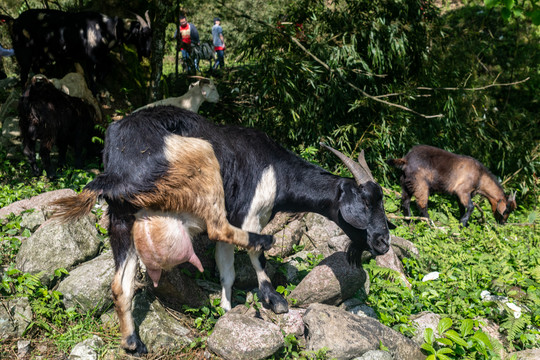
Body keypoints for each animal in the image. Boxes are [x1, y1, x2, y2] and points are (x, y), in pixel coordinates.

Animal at [51, 106, 392, 354]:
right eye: (364, 202)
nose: (383, 242)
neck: (278, 170)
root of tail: (121, 167)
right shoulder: (250, 212)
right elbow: (249, 257)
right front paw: (273, 299)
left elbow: (226, 270)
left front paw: (227, 309)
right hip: (203, 160)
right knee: (219, 229)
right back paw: (266, 241)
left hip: (122, 219)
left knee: (119, 284)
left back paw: (133, 343)